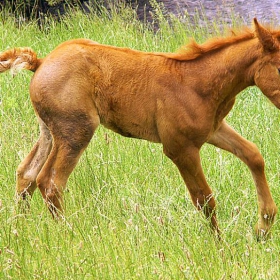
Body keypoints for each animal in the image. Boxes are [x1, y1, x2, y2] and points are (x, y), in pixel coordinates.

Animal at [1, 18, 278, 237]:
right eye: (278, 66)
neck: (200, 84)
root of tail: (41, 62)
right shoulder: (180, 148)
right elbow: (204, 199)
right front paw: (220, 246)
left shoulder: (213, 130)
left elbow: (253, 155)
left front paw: (263, 226)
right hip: (76, 129)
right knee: (50, 182)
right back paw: (68, 234)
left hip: (50, 130)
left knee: (27, 173)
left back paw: (19, 227)